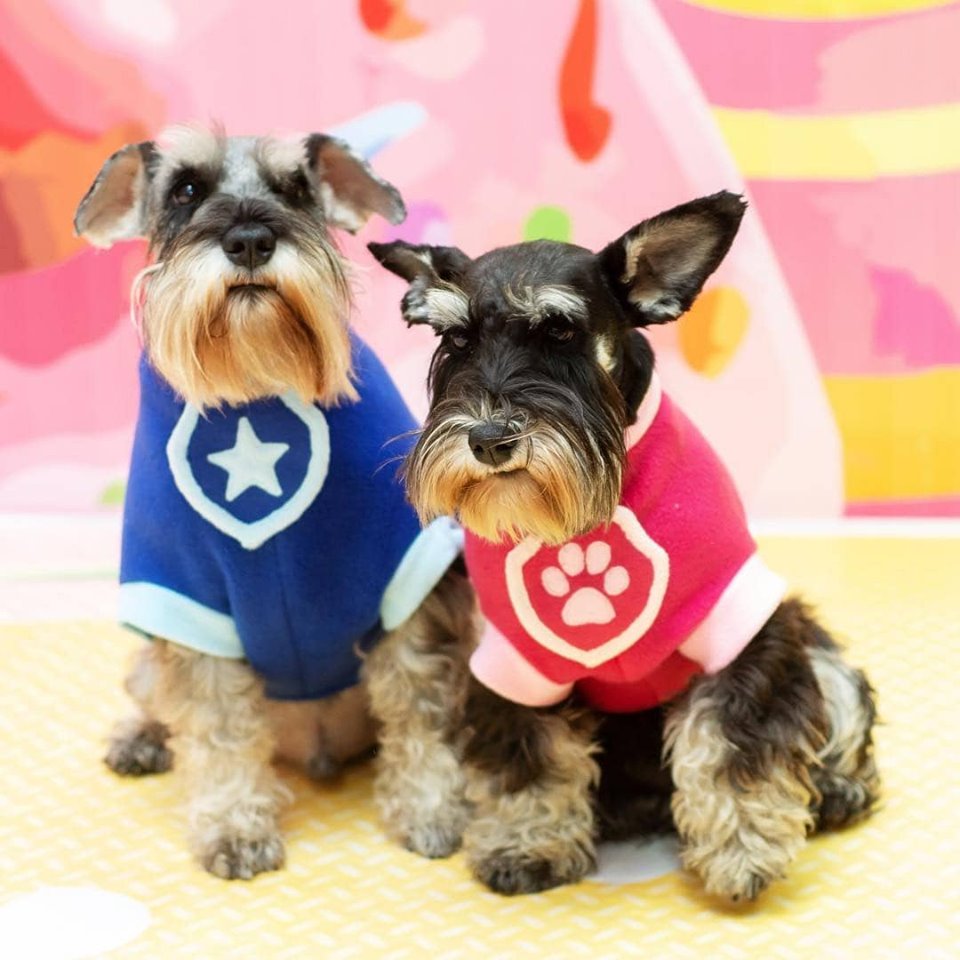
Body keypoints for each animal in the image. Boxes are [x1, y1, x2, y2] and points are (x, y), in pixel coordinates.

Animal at [73, 125, 478, 876]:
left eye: (295, 188)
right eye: (186, 189)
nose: (251, 239)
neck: (255, 382)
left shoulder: (407, 586)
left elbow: (419, 705)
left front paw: (432, 808)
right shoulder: (188, 600)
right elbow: (218, 728)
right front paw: (234, 827)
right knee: (151, 691)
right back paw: (139, 738)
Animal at [372, 193, 880, 900]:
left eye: (560, 331)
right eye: (455, 339)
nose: (490, 438)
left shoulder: (744, 625)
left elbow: (732, 741)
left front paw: (742, 848)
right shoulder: (515, 662)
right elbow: (528, 756)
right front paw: (527, 843)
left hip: (816, 647)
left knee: (839, 708)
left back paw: (834, 788)